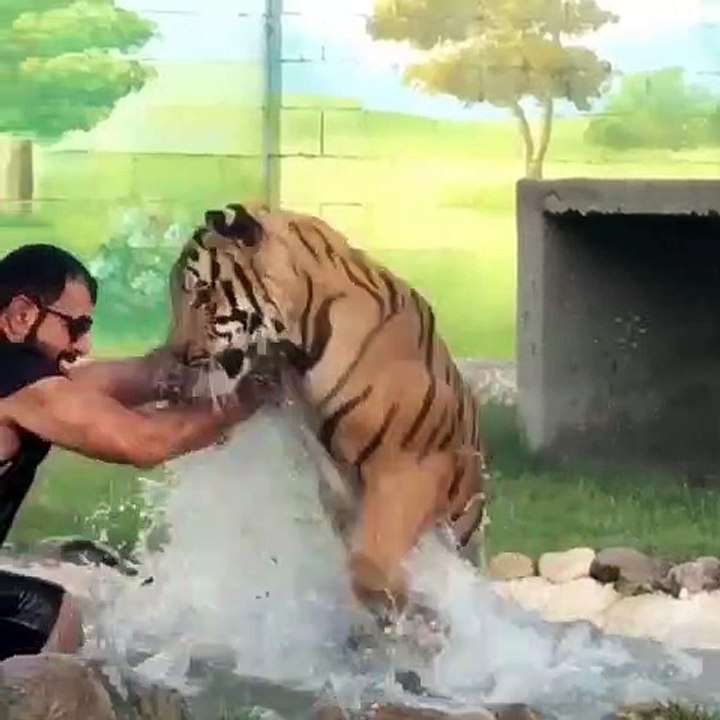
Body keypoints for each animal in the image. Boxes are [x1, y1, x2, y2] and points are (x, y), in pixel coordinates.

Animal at [166, 202, 490, 632]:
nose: (175, 353)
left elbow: (371, 558)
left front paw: (393, 604)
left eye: (202, 293)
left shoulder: (411, 466)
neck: (298, 343)